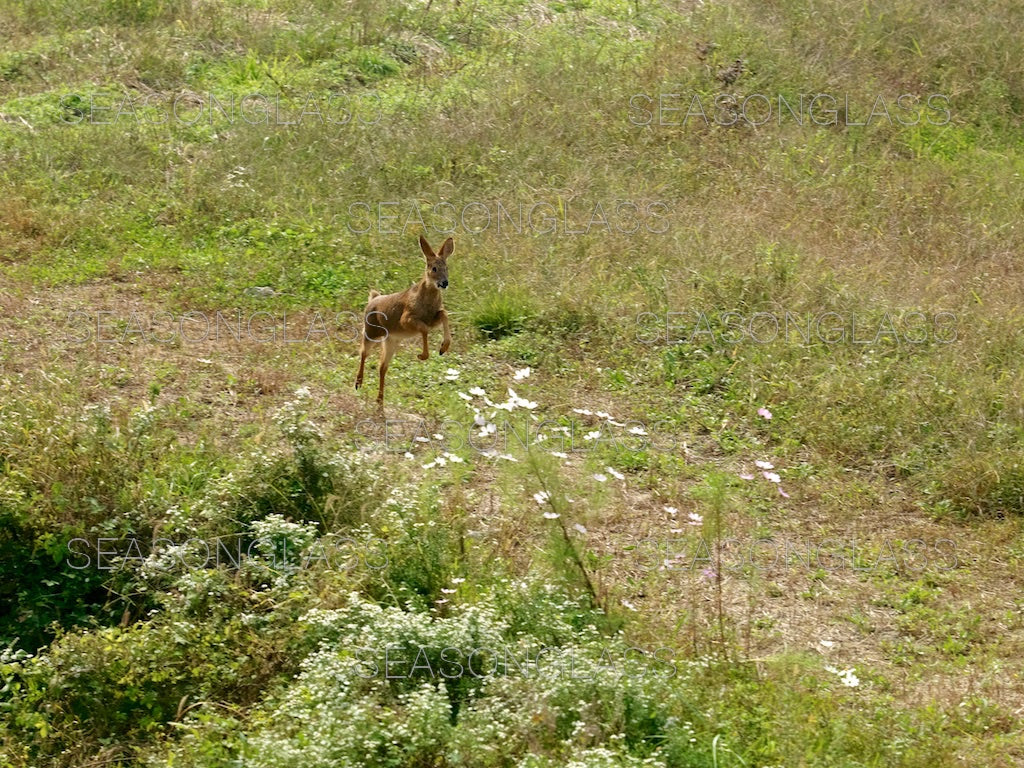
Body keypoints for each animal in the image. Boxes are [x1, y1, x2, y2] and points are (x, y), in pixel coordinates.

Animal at [356, 234, 452, 405]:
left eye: (446, 268)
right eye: (434, 268)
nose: (444, 282)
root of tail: (372, 299)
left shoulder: (432, 318)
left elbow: (443, 314)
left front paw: (443, 348)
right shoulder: (406, 319)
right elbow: (424, 329)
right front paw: (423, 356)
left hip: (391, 341)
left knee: (382, 367)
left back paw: (380, 399)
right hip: (371, 332)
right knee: (363, 353)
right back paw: (358, 383)